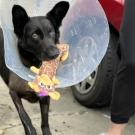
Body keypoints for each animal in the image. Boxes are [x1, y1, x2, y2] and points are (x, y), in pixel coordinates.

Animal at [0, 1, 69, 135]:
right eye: (35, 35)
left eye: (51, 32)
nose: (55, 54)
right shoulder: (13, 92)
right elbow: (24, 116)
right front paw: (30, 130)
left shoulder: (45, 97)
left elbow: (45, 121)